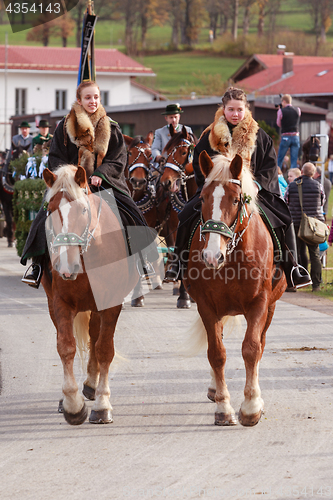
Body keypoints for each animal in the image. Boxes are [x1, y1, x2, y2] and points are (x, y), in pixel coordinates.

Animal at [182, 151, 286, 426]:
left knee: (260, 345)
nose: (212, 256)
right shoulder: (206, 306)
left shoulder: (260, 303)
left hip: (270, 307)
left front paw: (251, 407)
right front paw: (223, 407)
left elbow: (251, 349)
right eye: (203, 198)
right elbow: (216, 353)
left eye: (237, 199)